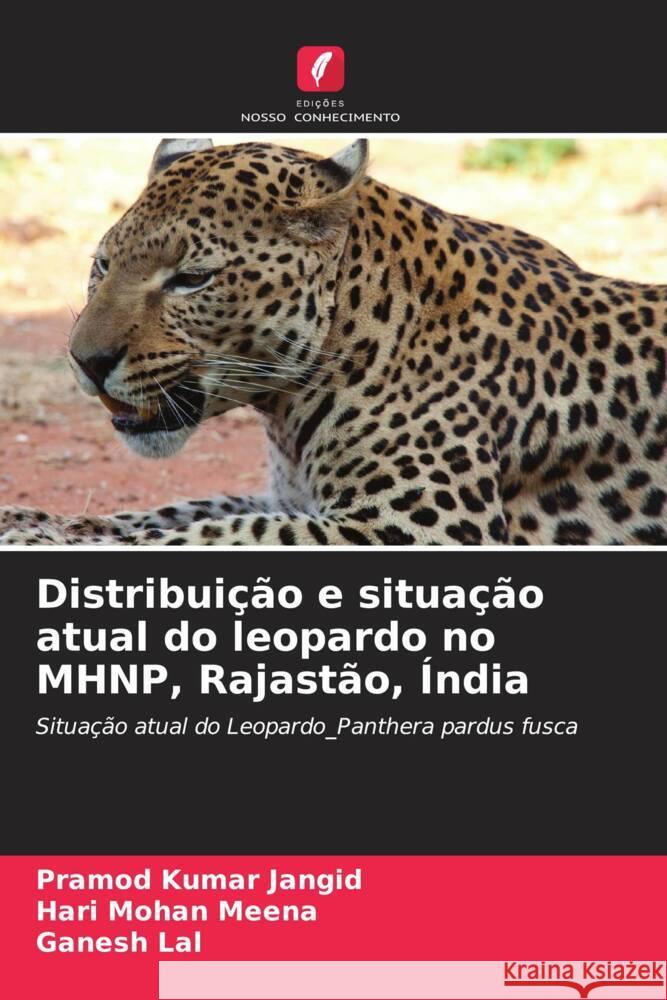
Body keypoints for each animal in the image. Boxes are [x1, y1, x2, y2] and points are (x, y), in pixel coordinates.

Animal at [1, 136, 667, 546]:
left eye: (192, 279)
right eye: (102, 265)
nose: (86, 361)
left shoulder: (421, 527)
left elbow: (217, 534)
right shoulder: (292, 500)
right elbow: (177, 511)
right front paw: (35, 522)